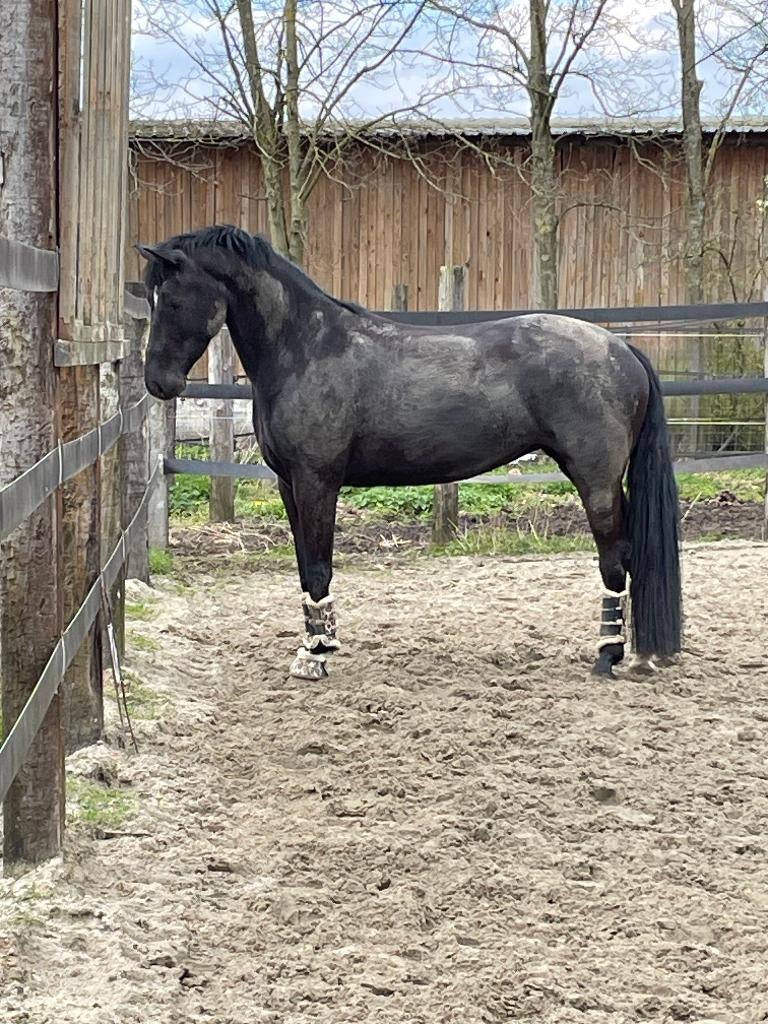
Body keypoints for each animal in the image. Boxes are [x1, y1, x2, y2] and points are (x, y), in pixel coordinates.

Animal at [137, 225, 682, 681]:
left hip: (596, 480)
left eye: (172, 300)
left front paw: (317, 656)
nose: (158, 383)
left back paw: (608, 655)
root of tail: (621, 348)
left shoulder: (317, 482)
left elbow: (319, 566)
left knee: (615, 558)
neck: (305, 349)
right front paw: (313, 645)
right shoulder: (290, 485)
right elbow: (304, 567)